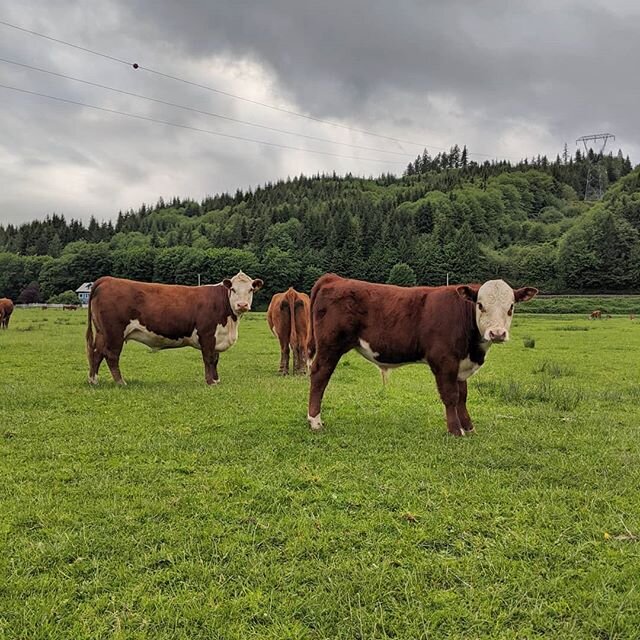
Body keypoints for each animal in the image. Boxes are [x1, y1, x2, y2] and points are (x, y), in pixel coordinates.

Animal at [87, 272, 262, 384]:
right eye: (233, 289)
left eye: (250, 289)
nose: (242, 305)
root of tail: (107, 279)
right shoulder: (207, 334)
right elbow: (208, 358)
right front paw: (210, 381)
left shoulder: (217, 336)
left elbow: (215, 359)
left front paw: (217, 379)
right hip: (114, 332)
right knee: (111, 355)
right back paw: (120, 382)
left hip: (102, 332)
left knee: (96, 353)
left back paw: (93, 380)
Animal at [308, 274, 536, 436]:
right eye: (480, 305)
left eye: (511, 307)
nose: (497, 333)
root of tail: (335, 278)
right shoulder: (444, 360)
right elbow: (451, 396)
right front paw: (455, 430)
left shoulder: (461, 364)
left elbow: (462, 396)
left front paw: (469, 427)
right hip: (330, 346)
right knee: (320, 375)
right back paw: (315, 421)